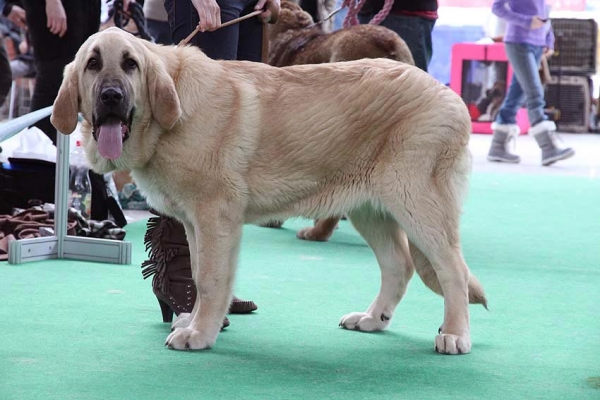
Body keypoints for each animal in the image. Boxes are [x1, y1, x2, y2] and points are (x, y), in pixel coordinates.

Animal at [49, 27, 486, 354]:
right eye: (93, 64)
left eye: (130, 64)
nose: (111, 96)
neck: (168, 114)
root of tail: (449, 94)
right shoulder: (194, 223)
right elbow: (196, 273)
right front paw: (193, 321)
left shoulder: (215, 217)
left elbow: (211, 279)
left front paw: (199, 334)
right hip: (372, 210)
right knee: (400, 265)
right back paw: (372, 319)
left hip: (419, 205)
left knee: (453, 272)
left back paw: (455, 335)